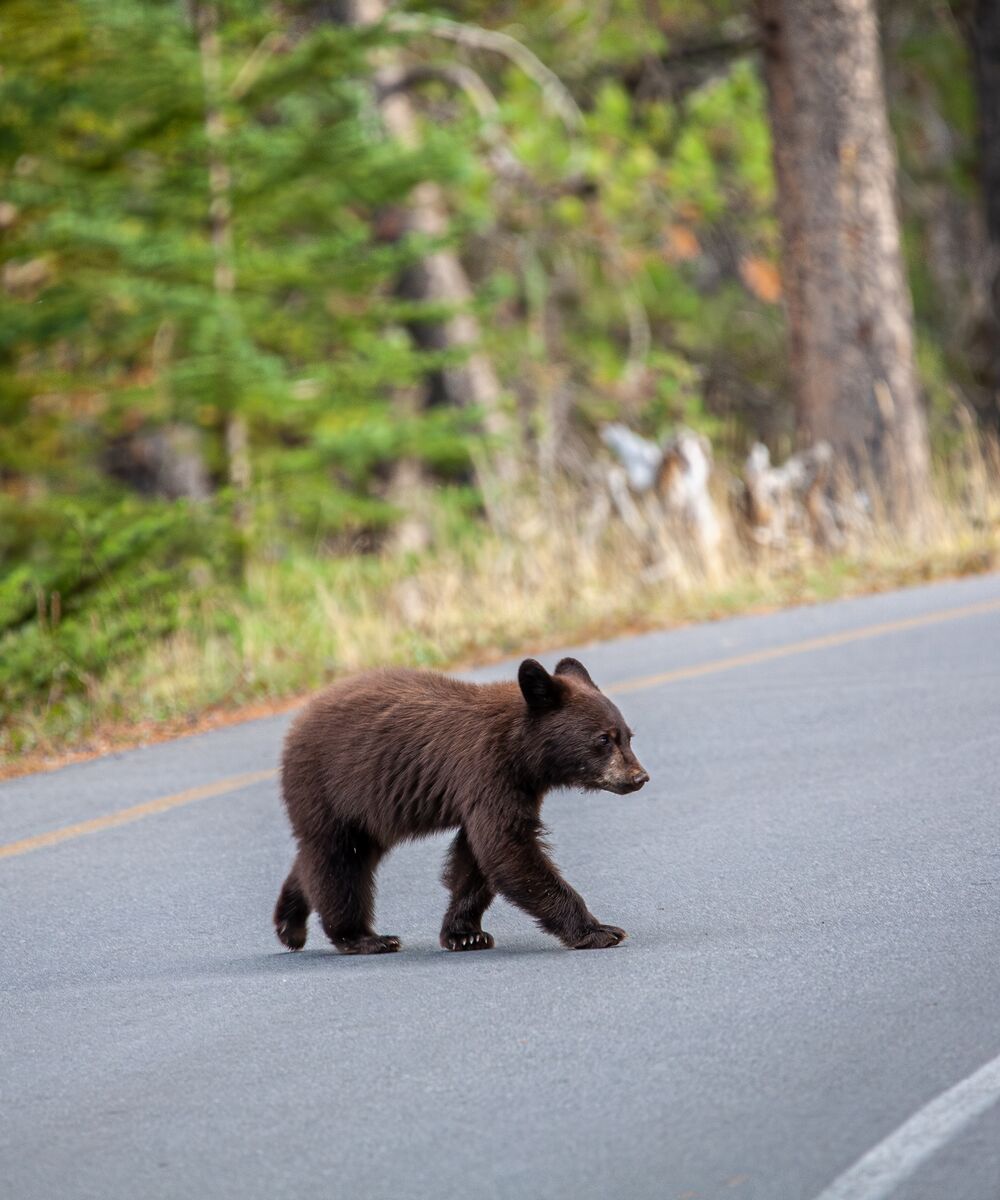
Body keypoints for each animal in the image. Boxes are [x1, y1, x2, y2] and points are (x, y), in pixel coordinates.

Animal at [273, 656, 649, 954]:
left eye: (628, 736)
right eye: (603, 739)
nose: (639, 777)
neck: (522, 751)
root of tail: (297, 722)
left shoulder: (513, 788)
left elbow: (476, 857)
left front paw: (464, 933)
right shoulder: (488, 772)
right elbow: (506, 848)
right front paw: (599, 930)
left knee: (322, 858)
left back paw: (289, 925)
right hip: (329, 788)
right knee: (338, 861)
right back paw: (363, 938)